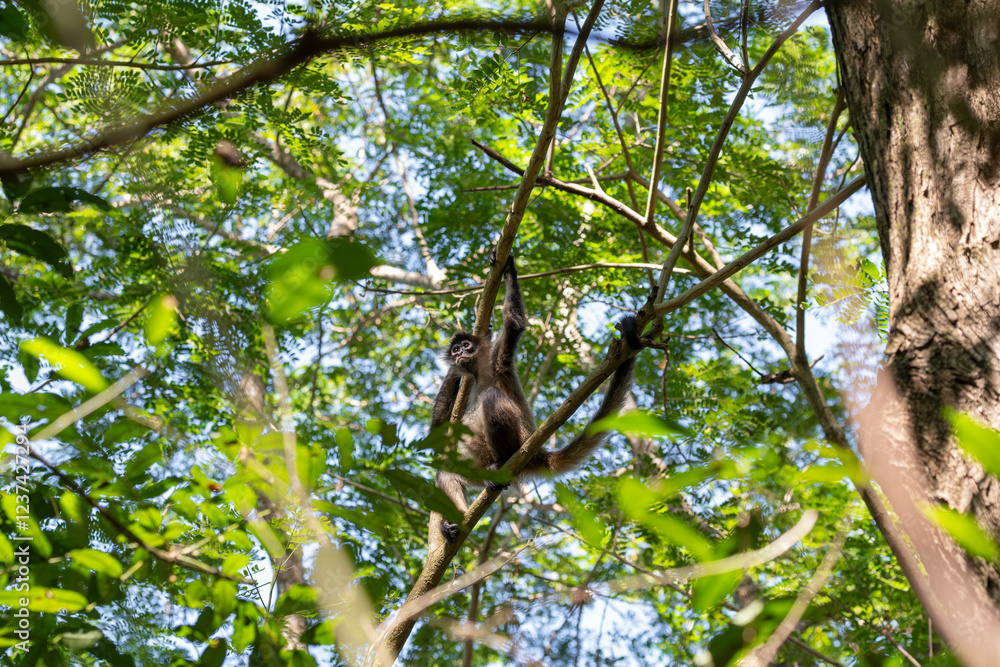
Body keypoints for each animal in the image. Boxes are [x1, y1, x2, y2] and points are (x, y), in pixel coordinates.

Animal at [431, 250, 643, 542]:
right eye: (455, 350)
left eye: (466, 346)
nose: (459, 354)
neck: (480, 372)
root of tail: (535, 451)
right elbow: (439, 428)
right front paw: (454, 371)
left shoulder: (498, 360)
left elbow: (514, 324)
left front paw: (508, 268)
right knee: (446, 475)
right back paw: (455, 525)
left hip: (519, 439)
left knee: (491, 397)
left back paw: (502, 462)